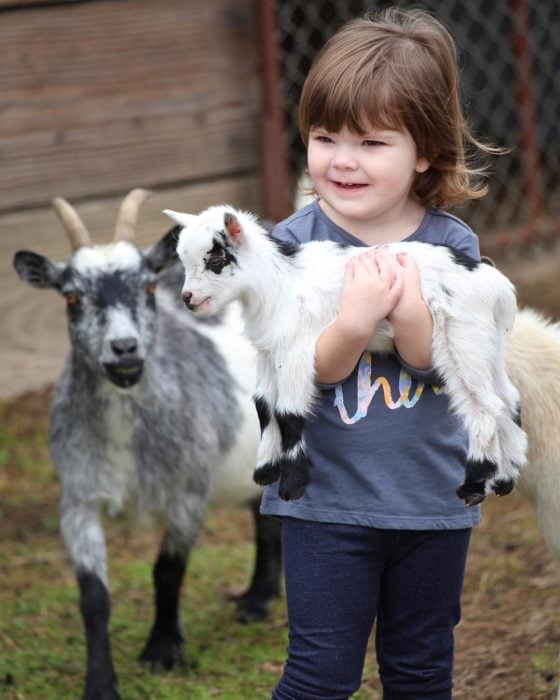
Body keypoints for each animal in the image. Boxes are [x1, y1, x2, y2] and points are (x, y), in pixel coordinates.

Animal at [13, 187, 282, 700]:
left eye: (150, 288)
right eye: (71, 296)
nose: (124, 349)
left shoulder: (188, 493)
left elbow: (167, 571)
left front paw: (161, 650)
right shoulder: (78, 498)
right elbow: (93, 596)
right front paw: (100, 683)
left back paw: (258, 604)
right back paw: (257, 595)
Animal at [168, 205, 528, 506]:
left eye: (215, 260)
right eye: (184, 261)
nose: (188, 299)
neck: (279, 282)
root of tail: (500, 288)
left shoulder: (296, 351)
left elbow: (287, 413)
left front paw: (292, 485)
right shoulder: (269, 353)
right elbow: (264, 406)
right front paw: (265, 470)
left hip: (462, 341)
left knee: (485, 407)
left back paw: (473, 486)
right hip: (488, 344)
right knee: (507, 398)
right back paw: (505, 477)